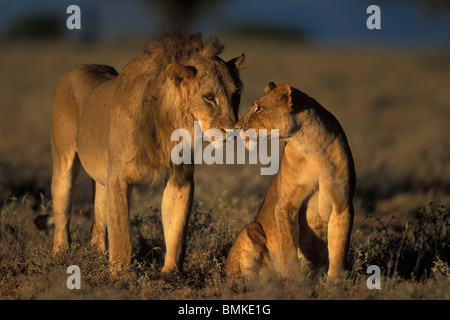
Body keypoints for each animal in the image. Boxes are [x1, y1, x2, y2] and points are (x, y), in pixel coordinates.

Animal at [51, 32, 244, 272]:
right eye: (209, 97)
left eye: (236, 95)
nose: (233, 130)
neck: (171, 124)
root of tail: (77, 67)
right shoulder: (118, 175)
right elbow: (121, 232)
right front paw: (120, 274)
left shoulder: (180, 176)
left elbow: (176, 227)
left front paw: (171, 273)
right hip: (64, 163)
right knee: (62, 213)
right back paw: (61, 256)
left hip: (101, 178)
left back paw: (97, 255)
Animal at [227, 83, 356, 280]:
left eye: (259, 108)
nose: (236, 127)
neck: (312, 148)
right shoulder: (285, 205)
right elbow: (287, 247)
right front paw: (293, 281)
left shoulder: (342, 205)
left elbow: (339, 248)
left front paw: (335, 281)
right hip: (250, 230)